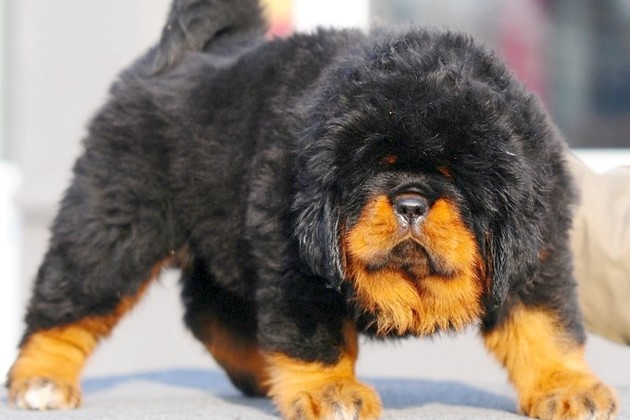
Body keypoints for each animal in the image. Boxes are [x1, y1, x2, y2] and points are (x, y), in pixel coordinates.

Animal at [6, 1, 618, 419]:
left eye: (455, 175)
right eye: (374, 167)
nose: (411, 202)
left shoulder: (535, 249)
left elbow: (545, 325)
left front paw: (566, 387)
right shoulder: (296, 257)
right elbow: (314, 332)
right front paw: (330, 390)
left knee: (210, 312)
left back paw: (261, 372)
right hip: (117, 220)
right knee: (71, 299)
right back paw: (41, 380)